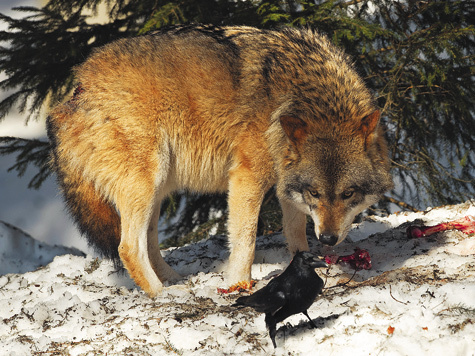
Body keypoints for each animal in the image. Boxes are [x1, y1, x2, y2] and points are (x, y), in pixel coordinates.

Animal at [46, 24, 394, 298]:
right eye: (317, 193)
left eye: (348, 194)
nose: (329, 239)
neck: (297, 98)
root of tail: (76, 91)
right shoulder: (246, 178)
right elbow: (246, 240)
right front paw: (239, 284)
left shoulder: (286, 184)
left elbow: (295, 234)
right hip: (146, 181)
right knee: (128, 247)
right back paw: (162, 295)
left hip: (157, 190)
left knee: (148, 243)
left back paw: (173, 281)